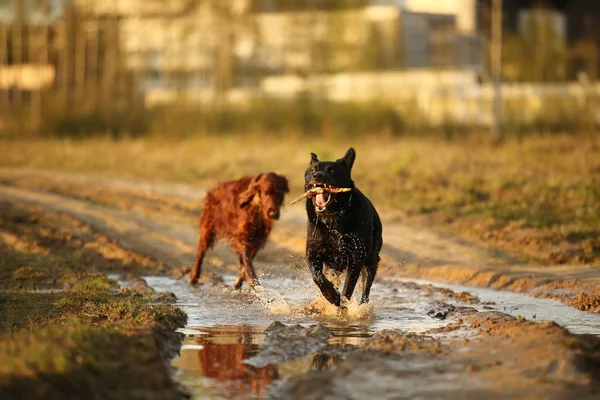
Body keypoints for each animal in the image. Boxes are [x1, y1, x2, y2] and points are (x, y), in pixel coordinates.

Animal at [302, 147, 382, 306]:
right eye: (313, 169)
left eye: (332, 170)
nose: (317, 175)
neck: (332, 218)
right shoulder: (313, 253)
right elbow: (318, 277)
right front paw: (331, 295)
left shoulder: (356, 259)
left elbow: (348, 290)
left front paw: (342, 305)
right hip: (335, 266)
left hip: (372, 260)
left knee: (366, 289)